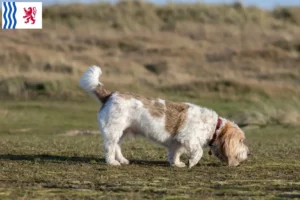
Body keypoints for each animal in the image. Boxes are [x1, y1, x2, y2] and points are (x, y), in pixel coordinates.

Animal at [78, 65, 250, 167]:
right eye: (241, 141)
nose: (249, 153)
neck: (214, 127)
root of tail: (110, 95)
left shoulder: (178, 142)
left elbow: (175, 153)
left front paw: (177, 164)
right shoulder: (188, 138)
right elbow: (198, 152)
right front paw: (192, 162)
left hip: (122, 132)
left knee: (117, 147)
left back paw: (122, 159)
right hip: (113, 131)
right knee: (109, 147)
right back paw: (112, 162)